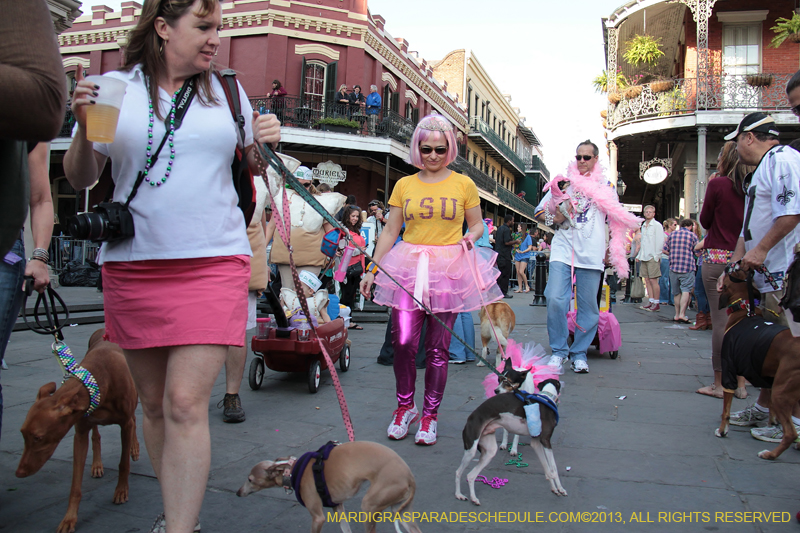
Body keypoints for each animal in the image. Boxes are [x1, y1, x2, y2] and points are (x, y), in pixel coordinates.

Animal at [15, 328, 139, 532]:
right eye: (23, 433)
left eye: (38, 437)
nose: (19, 473)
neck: (100, 377)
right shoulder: (80, 433)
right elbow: (75, 485)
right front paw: (69, 518)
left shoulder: (125, 423)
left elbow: (123, 464)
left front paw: (121, 491)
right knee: (96, 437)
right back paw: (97, 465)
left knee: (134, 421)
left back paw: (134, 448)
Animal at [238, 440, 422, 532]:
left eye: (250, 479)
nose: (238, 493)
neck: (292, 470)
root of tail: (410, 477)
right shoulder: (337, 507)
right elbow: (346, 529)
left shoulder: (318, 517)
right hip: (402, 511)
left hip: (370, 506)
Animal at [454, 360, 564, 504]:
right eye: (499, 380)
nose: (496, 390)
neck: (546, 397)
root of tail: (470, 418)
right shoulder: (546, 441)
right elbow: (554, 469)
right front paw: (561, 489)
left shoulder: (537, 442)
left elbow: (547, 469)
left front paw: (554, 489)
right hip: (471, 450)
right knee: (458, 472)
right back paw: (458, 495)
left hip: (489, 452)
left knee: (471, 475)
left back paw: (473, 498)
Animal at [712, 272, 800, 460]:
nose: (727, 268)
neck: (744, 311)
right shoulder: (768, 378)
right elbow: (771, 408)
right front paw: (771, 424)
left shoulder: (729, 370)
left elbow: (726, 410)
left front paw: (723, 431)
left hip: (782, 391)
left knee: (791, 433)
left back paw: (770, 454)